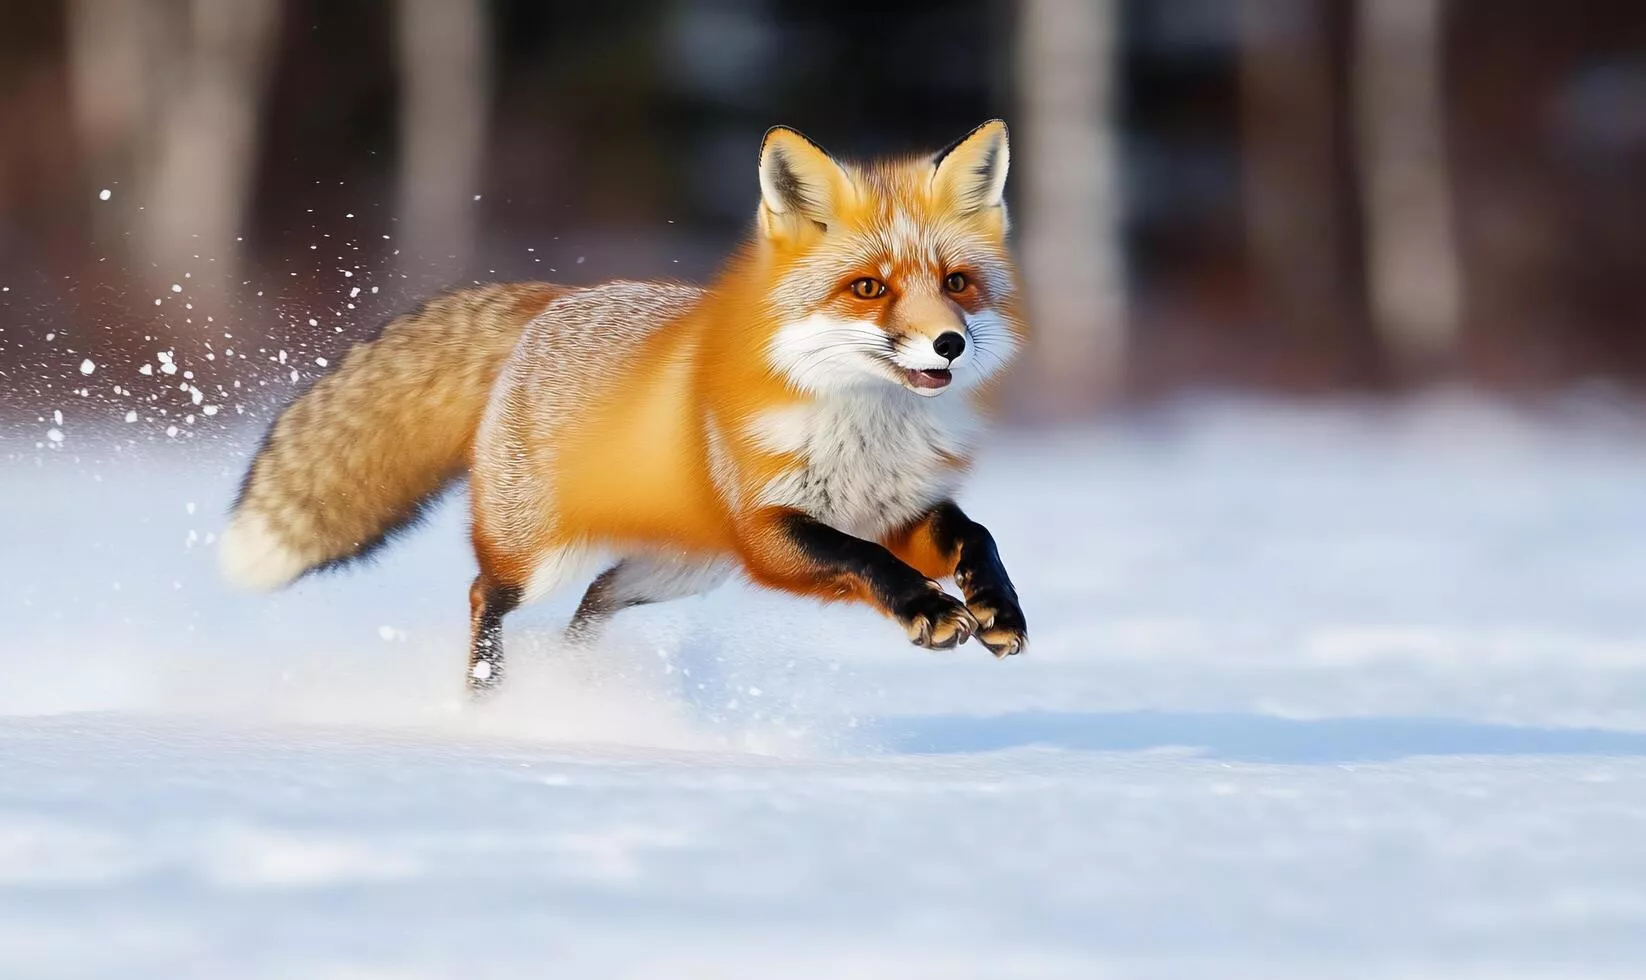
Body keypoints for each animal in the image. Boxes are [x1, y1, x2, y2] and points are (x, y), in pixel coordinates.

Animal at [221, 120, 1029, 694]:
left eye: (956, 283)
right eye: (869, 288)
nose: (949, 344)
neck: (866, 433)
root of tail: (558, 296)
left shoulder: (897, 508)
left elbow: (977, 536)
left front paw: (997, 607)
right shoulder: (770, 531)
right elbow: (863, 560)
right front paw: (930, 609)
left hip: (678, 571)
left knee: (594, 602)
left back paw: (575, 685)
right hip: (540, 557)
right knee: (487, 594)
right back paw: (488, 697)